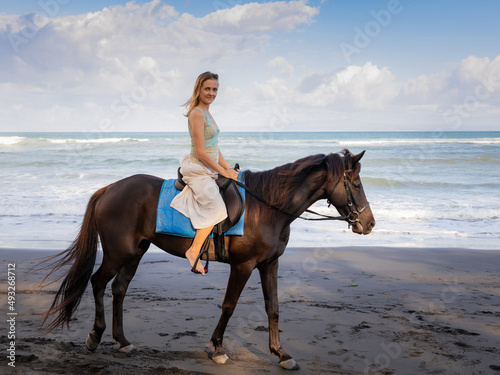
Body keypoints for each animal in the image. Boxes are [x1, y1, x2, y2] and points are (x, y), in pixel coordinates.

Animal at [40, 149, 376, 370]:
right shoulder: (243, 266)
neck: (266, 207)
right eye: (356, 184)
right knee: (98, 283)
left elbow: (273, 308)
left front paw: (281, 354)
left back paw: (122, 341)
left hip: (135, 252)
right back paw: (95, 335)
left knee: (118, 289)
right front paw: (216, 348)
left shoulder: (269, 264)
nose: (369, 223)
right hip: (117, 253)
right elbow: (229, 306)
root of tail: (109, 188)